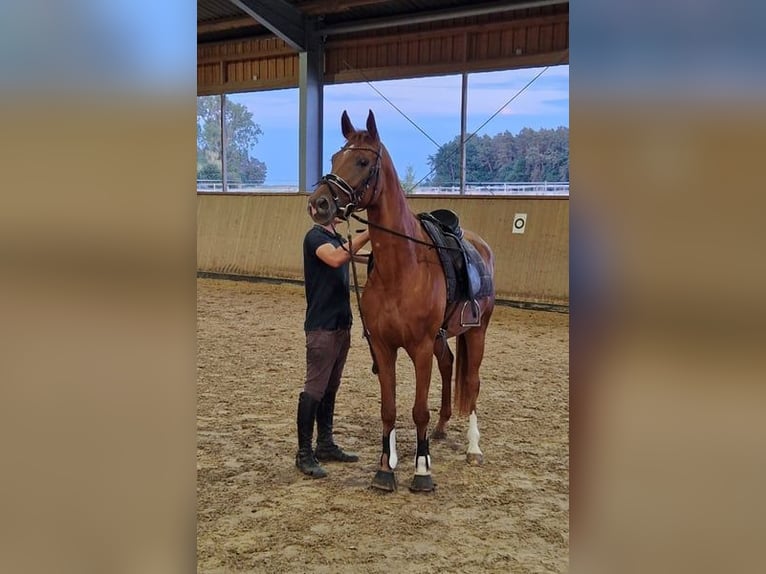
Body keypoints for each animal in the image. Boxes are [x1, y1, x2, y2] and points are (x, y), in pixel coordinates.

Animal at [307, 109, 495, 492]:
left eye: (363, 161)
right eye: (334, 158)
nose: (319, 203)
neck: (403, 267)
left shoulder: (419, 347)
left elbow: (417, 409)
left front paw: (422, 470)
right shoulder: (383, 346)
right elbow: (389, 408)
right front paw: (385, 467)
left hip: (477, 331)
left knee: (472, 382)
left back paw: (473, 448)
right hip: (442, 337)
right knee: (449, 364)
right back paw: (440, 429)